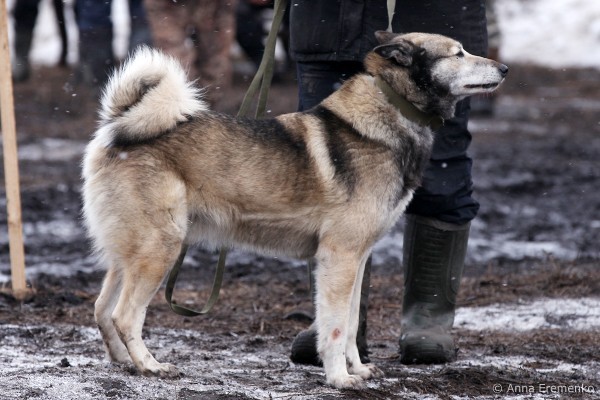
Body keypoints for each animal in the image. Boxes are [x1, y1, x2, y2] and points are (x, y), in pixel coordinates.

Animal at [82, 31, 507, 389]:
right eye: (458, 53)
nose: (504, 68)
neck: (390, 112)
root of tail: (118, 128)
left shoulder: (357, 260)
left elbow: (351, 323)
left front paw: (357, 369)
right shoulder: (340, 257)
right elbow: (334, 328)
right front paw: (339, 379)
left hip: (132, 254)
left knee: (102, 309)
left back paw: (124, 361)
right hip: (161, 249)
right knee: (124, 315)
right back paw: (150, 365)